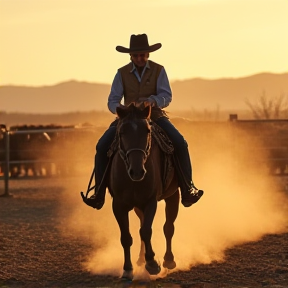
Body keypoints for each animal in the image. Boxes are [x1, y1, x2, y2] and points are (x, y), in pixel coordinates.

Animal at [108, 103, 180, 280]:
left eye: (147, 131)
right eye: (122, 132)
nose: (137, 171)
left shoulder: (150, 202)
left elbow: (147, 231)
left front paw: (152, 263)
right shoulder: (118, 206)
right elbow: (126, 237)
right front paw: (128, 269)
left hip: (173, 196)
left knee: (168, 227)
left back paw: (168, 260)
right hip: (137, 206)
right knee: (142, 225)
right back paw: (141, 259)